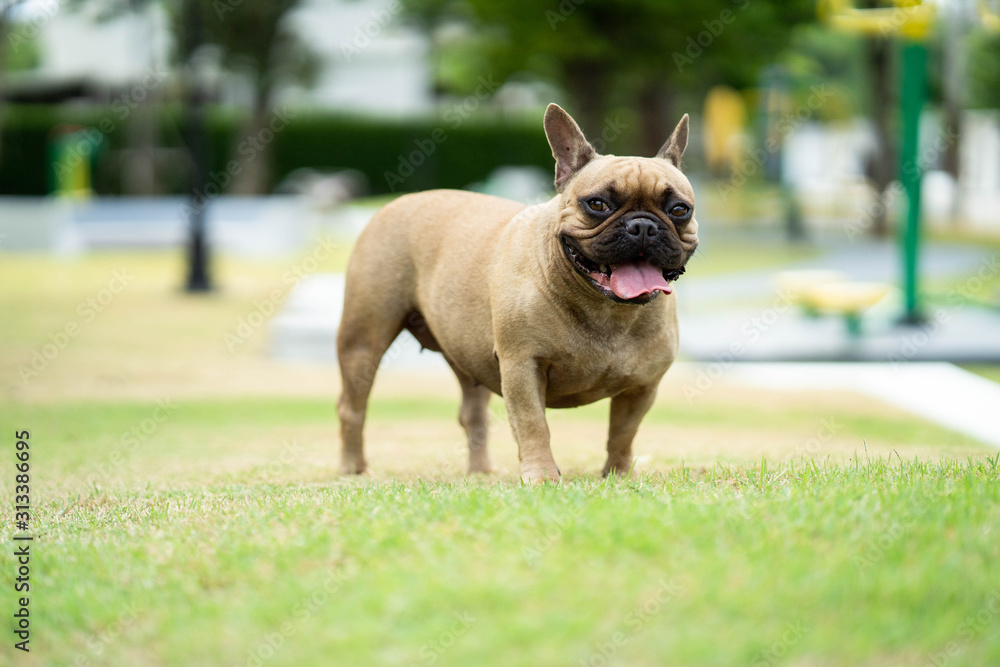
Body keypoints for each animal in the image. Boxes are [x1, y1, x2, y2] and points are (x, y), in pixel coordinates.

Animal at [336, 103, 696, 480]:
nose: (643, 226)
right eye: (597, 204)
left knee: (472, 414)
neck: (606, 308)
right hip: (363, 340)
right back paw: (352, 469)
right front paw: (542, 476)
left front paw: (618, 474)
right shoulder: (522, 366)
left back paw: (480, 473)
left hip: (468, 355)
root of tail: (397, 202)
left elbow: (623, 433)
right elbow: (532, 424)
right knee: (352, 406)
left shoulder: (643, 386)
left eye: (679, 210)